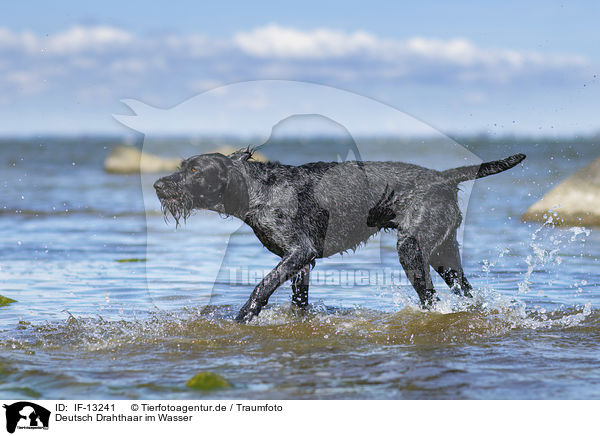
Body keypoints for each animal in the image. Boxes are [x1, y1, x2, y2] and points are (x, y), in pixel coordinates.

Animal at [155, 148, 524, 322]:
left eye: (194, 170)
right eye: (182, 165)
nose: (159, 185)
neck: (256, 189)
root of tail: (444, 177)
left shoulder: (301, 252)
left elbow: (262, 286)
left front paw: (244, 316)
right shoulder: (299, 264)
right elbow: (299, 301)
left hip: (412, 249)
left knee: (430, 297)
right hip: (444, 255)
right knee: (465, 291)